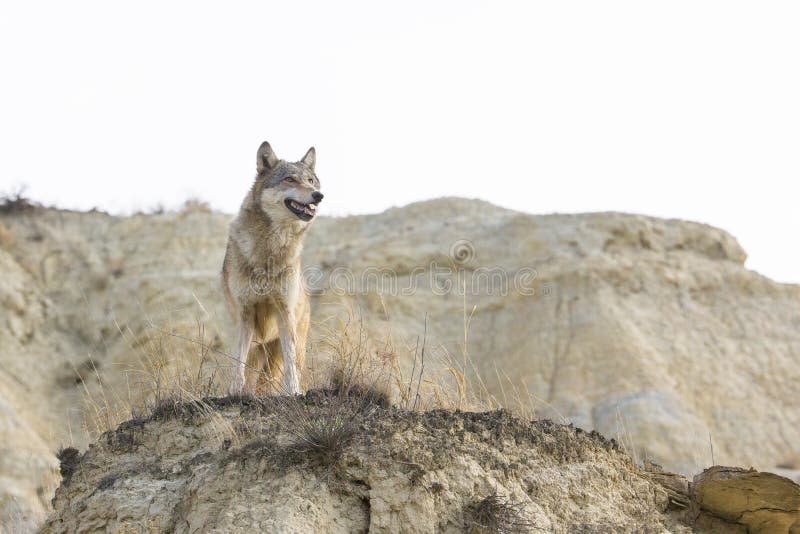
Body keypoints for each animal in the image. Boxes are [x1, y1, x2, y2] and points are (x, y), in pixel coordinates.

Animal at [222, 141, 323, 395]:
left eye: (311, 181)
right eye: (289, 179)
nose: (319, 195)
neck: (269, 250)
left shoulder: (284, 312)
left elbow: (290, 364)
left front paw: (294, 391)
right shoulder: (245, 314)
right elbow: (239, 361)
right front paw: (234, 391)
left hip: (294, 340)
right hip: (257, 344)